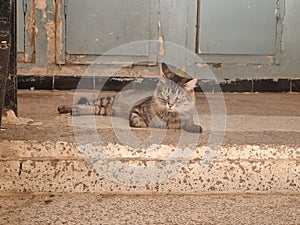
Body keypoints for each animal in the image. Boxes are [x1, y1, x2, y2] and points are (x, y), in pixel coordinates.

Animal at [57, 62, 203, 134]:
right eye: (165, 94)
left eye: (178, 98)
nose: (170, 104)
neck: (169, 115)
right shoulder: (136, 111)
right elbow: (141, 123)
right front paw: (153, 125)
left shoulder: (186, 120)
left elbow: (189, 125)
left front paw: (195, 128)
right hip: (106, 100)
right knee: (85, 104)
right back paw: (65, 108)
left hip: (104, 110)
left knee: (93, 108)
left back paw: (74, 111)